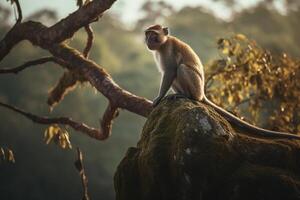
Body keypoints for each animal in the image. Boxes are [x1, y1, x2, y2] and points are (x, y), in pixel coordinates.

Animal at [145, 24, 300, 139]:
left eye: (153, 34)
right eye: (147, 34)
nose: (148, 40)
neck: (163, 43)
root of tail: (202, 93)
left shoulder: (168, 49)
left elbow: (170, 71)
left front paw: (159, 97)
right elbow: (168, 73)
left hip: (196, 86)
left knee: (181, 68)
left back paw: (189, 96)